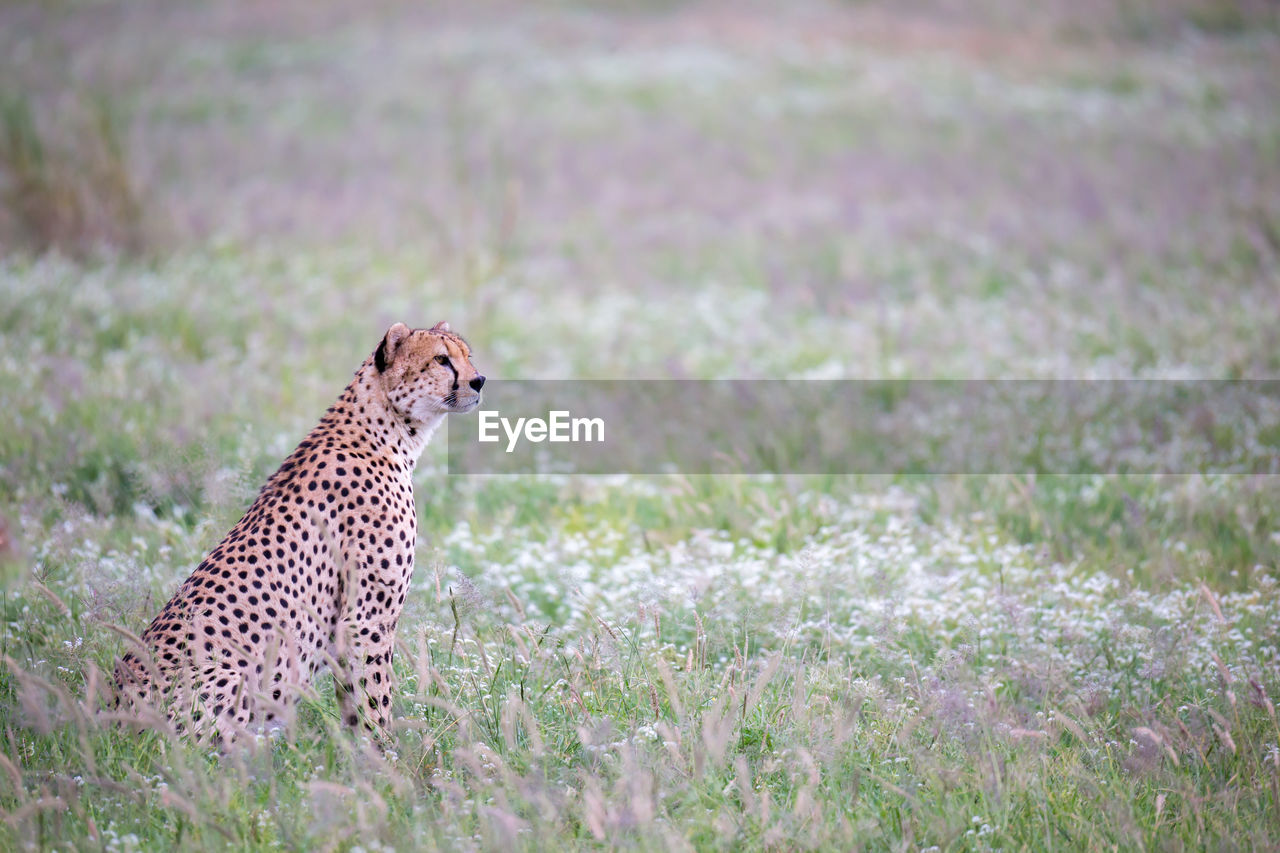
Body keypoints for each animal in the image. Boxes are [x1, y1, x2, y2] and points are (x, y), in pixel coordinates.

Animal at [113, 322, 483, 742]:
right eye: (441, 359)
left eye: (467, 356)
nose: (479, 380)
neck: (386, 432)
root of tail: (106, 714)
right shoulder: (366, 618)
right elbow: (376, 697)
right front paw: (390, 753)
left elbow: (353, 701)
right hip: (231, 682)